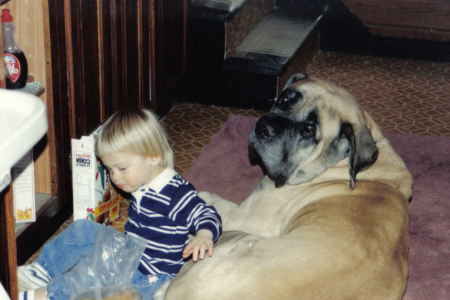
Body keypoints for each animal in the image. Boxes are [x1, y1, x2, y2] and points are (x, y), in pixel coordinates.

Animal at [164, 74, 412, 298]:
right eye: (284, 99)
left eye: (309, 129)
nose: (263, 127)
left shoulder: (242, 217)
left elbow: (209, 198)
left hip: (238, 236)